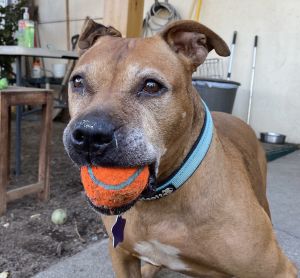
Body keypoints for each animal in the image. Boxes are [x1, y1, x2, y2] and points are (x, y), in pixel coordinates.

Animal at [63, 18, 298, 276]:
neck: (159, 201)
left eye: (151, 86)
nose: (89, 134)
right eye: (77, 81)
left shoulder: (278, 270)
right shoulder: (120, 253)